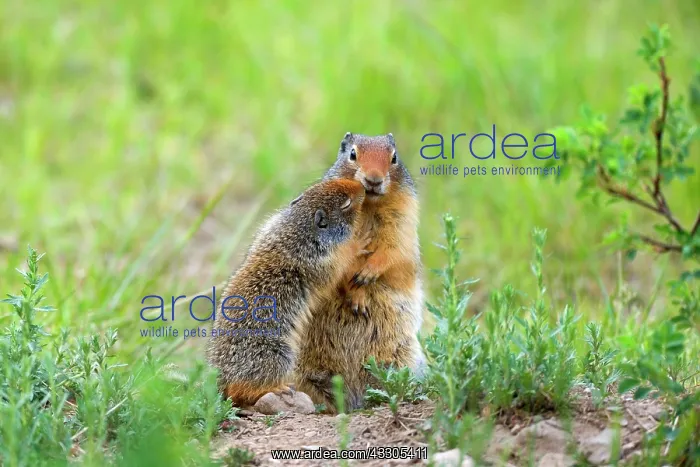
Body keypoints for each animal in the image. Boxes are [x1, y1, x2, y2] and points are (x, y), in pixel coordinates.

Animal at [205, 179, 371, 407]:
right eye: (345, 202)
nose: (363, 186)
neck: (296, 227)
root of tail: (222, 382)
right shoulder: (316, 259)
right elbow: (336, 268)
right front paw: (358, 243)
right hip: (276, 354)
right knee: (241, 390)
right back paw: (277, 388)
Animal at [294, 132, 425, 411]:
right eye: (352, 154)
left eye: (394, 157)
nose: (373, 180)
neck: (370, 207)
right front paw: (358, 296)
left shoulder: (404, 222)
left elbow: (395, 251)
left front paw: (367, 275)